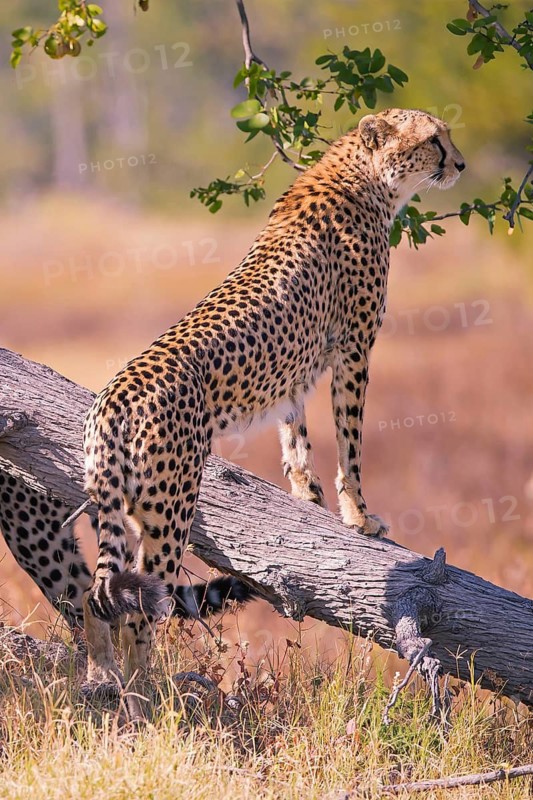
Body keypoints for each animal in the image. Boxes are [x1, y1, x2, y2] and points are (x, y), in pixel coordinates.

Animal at [80, 108, 464, 716]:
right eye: (433, 140)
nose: (461, 163)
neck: (365, 176)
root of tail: (116, 393)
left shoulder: (300, 369)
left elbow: (295, 429)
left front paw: (306, 494)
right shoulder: (354, 347)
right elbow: (351, 442)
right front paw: (360, 516)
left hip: (116, 506)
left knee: (97, 598)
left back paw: (102, 678)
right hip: (170, 509)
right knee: (140, 608)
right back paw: (150, 700)